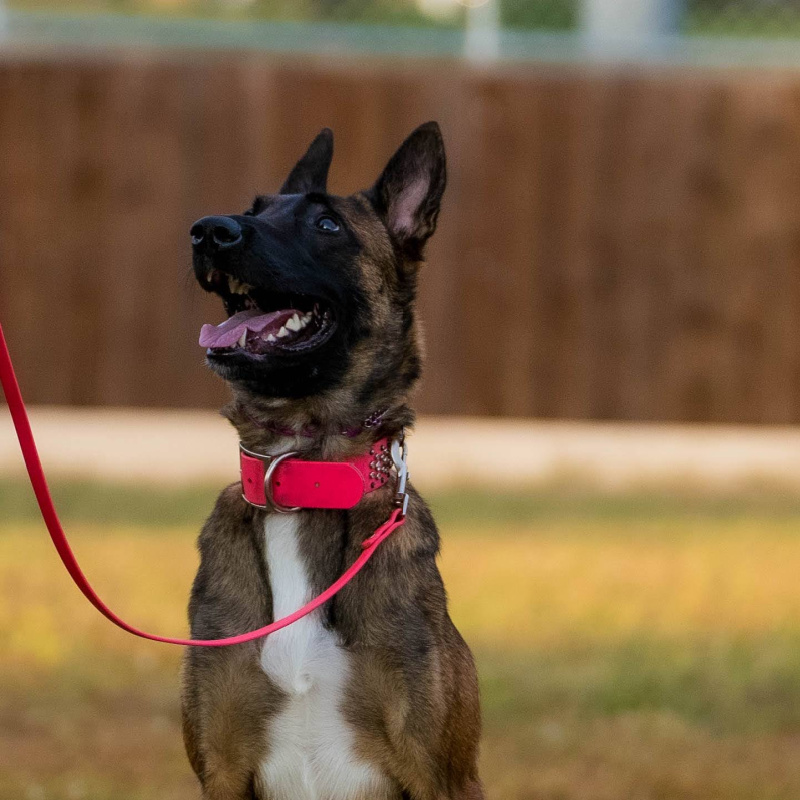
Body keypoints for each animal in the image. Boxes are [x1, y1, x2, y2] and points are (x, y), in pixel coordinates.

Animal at [182, 122, 483, 800]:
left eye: (327, 225)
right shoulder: (221, 766)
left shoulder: (439, 774)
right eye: (255, 208)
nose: (209, 230)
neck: (301, 472)